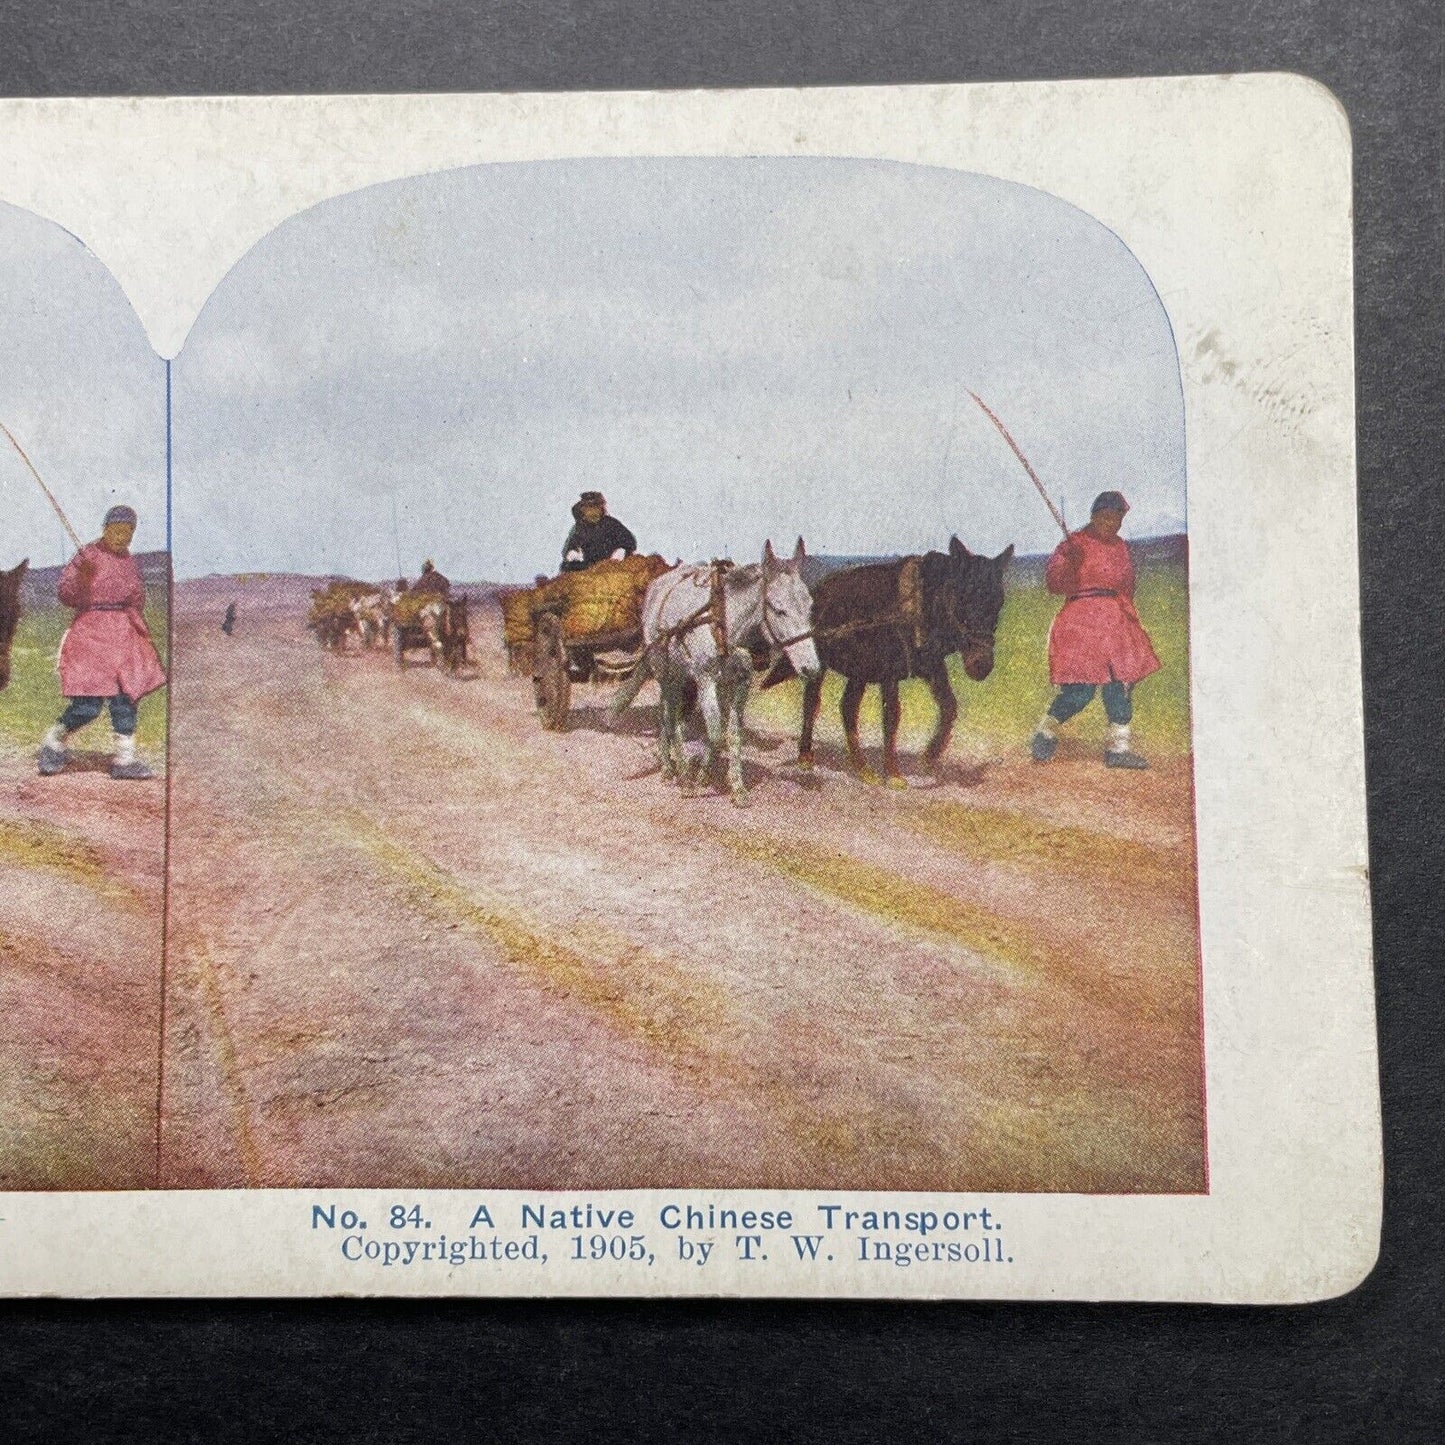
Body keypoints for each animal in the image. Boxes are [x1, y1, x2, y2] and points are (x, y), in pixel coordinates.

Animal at [647, 540, 826, 803]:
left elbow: (732, 733)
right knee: (668, 714)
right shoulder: (705, 680)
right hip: (666, 672)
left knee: (674, 715)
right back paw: (675, 768)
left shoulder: (741, 683)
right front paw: (696, 778)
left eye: (810, 606)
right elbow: (715, 733)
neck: (724, 623)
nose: (811, 667)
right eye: (778, 610)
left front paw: (735, 785)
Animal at [786, 540, 1011, 786]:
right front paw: (893, 773)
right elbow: (892, 717)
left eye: (999, 602)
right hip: (820, 665)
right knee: (812, 702)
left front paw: (929, 756)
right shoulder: (889, 674)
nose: (981, 665)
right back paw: (806, 755)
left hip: (859, 671)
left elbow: (949, 707)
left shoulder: (933, 667)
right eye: (963, 597)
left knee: (848, 707)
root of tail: (817, 589)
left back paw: (862, 768)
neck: (921, 605)